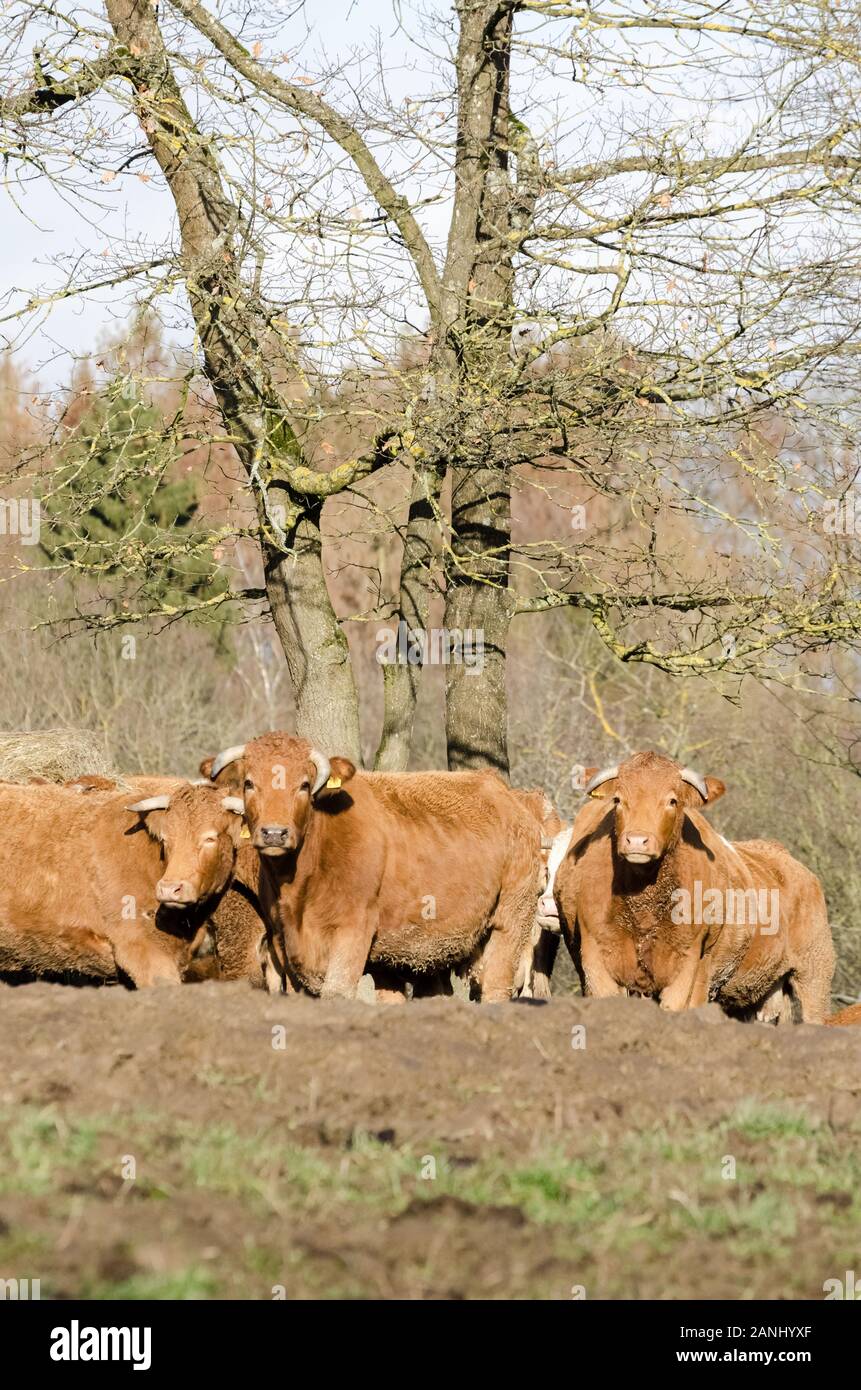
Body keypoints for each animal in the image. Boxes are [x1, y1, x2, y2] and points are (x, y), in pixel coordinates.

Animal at [206, 732, 542, 1001]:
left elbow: (336, 992)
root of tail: (500, 789)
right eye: (249, 783)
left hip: (511, 919)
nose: (274, 833)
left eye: (303, 785)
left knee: (496, 986)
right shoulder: (283, 939)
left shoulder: (352, 931)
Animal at [554, 751, 834, 1022]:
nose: (637, 840)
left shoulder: (687, 964)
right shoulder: (595, 960)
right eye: (618, 800)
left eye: (672, 801)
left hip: (814, 972)